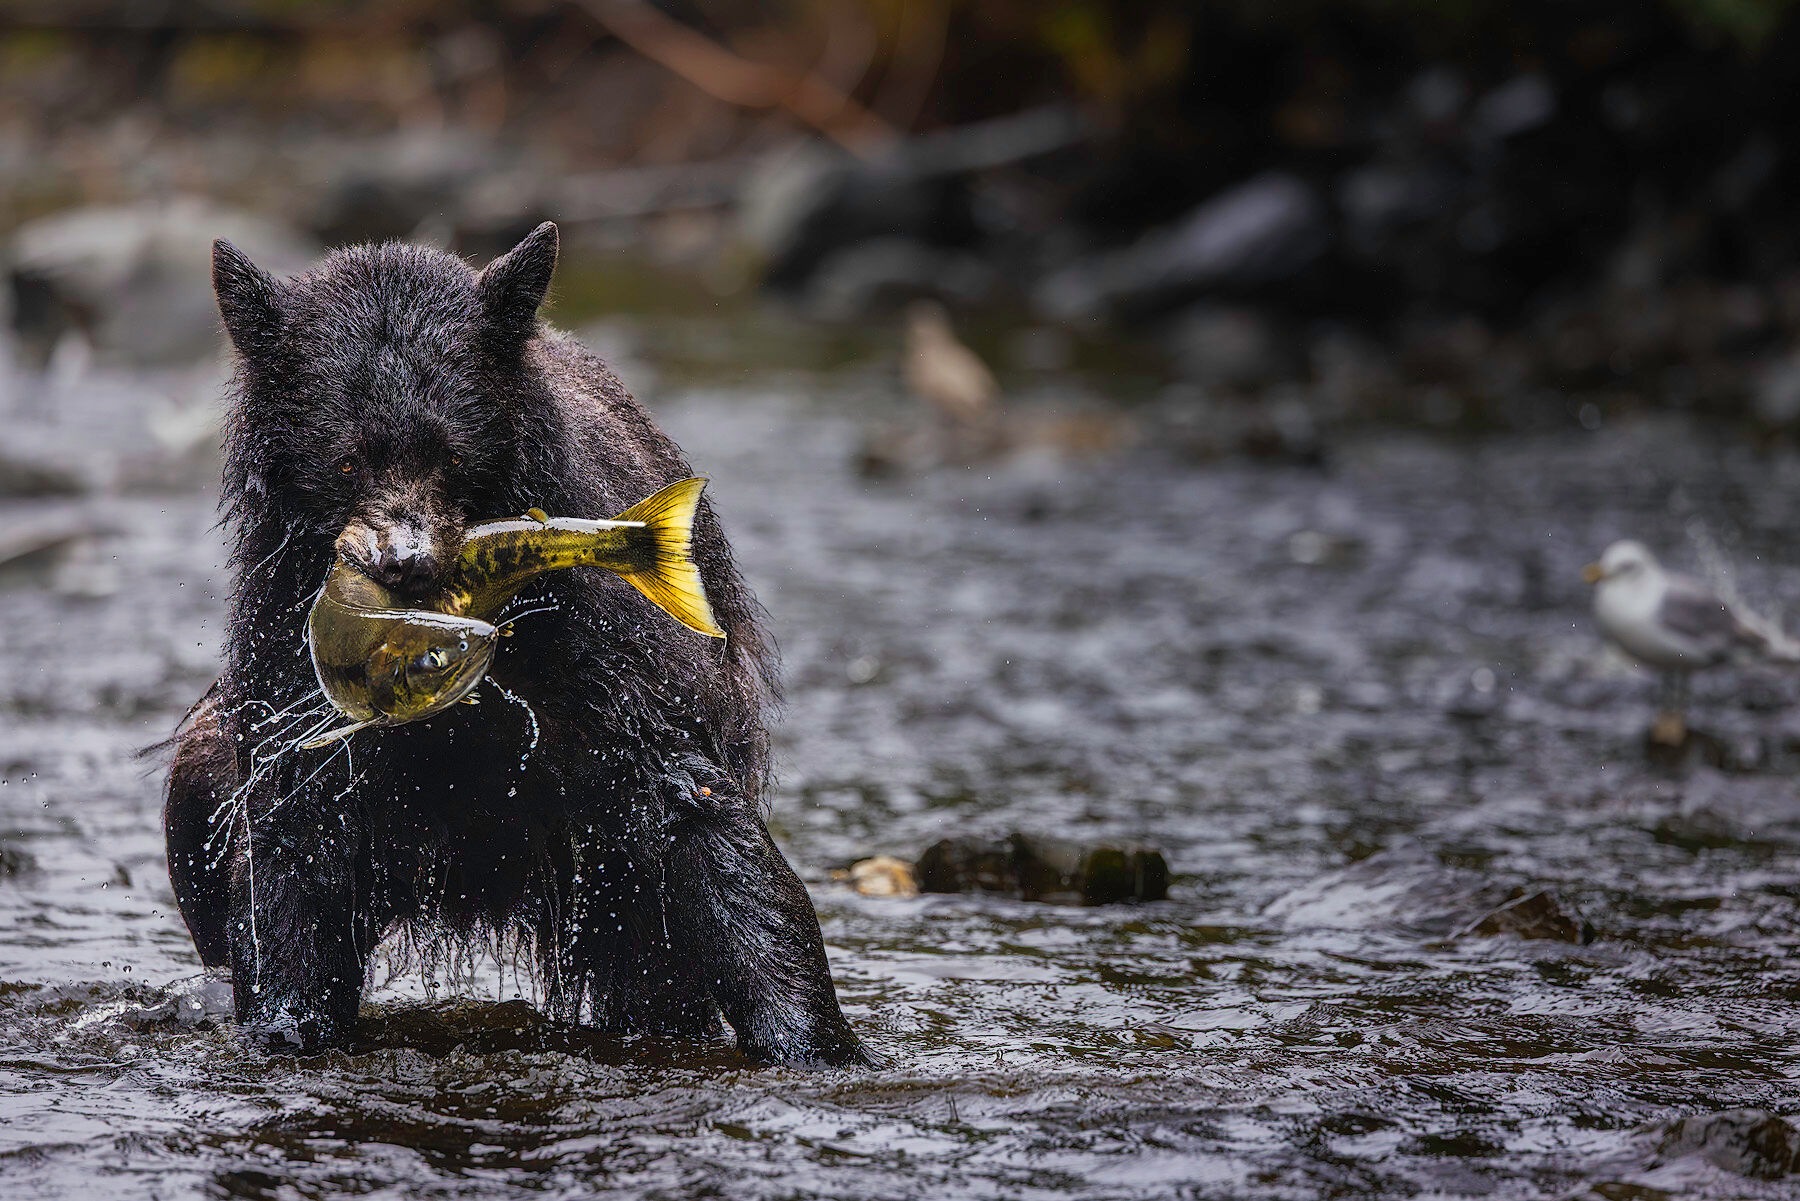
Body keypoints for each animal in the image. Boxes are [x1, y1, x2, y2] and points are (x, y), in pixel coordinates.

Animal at [162, 222, 869, 1066]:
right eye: (345, 458)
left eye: (453, 453)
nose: (405, 562)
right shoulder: (287, 644)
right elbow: (295, 842)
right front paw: (287, 1022)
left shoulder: (601, 650)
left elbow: (696, 813)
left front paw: (813, 1039)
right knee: (197, 790)